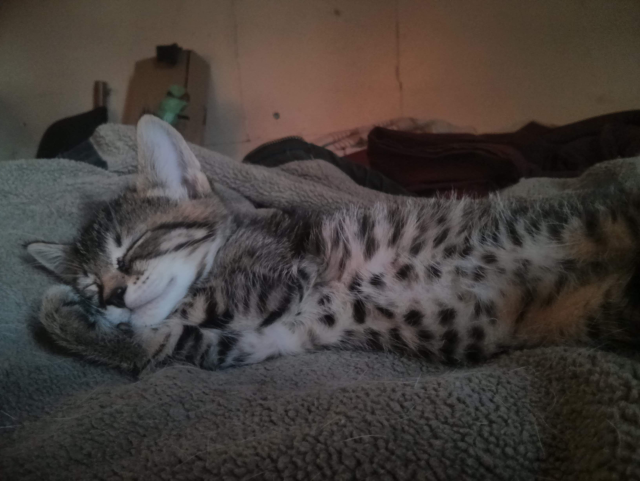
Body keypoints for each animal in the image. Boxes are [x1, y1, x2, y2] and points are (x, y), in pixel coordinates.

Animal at [27, 115, 640, 372]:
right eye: (91, 279)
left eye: (133, 247)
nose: (107, 295)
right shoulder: (257, 340)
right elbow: (163, 341)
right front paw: (70, 315)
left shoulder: (280, 276)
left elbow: (186, 309)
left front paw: (59, 309)